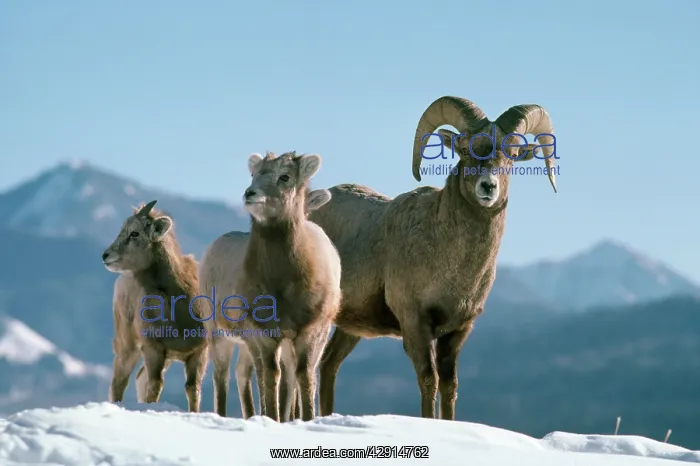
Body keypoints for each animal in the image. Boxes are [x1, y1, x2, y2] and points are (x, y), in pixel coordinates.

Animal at [102, 200, 208, 412]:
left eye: (134, 233)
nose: (106, 256)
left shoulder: (199, 353)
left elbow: (193, 389)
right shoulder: (154, 349)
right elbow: (155, 386)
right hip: (128, 345)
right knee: (120, 381)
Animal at [204, 151, 341, 422]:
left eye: (285, 176)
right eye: (254, 174)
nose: (250, 194)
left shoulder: (310, 331)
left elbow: (302, 376)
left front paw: (305, 419)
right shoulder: (264, 333)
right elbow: (270, 375)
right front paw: (273, 418)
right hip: (218, 333)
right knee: (222, 376)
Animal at [308, 95, 558, 420]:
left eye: (512, 154)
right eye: (463, 149)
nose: (488, 187)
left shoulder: (458, 331)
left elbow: (450, 386)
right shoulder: (416, 324)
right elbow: (429, 381)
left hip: (349, 328)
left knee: (328, 365)